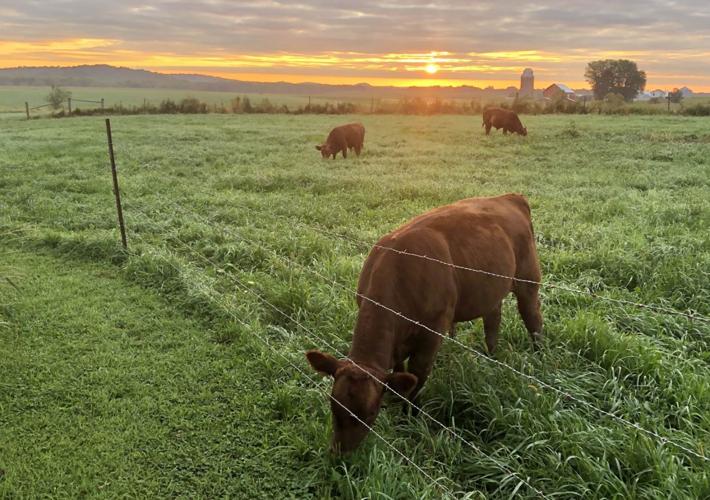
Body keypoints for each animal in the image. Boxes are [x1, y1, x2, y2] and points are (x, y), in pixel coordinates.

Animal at [306, 193, 543, 453]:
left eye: (370, 414)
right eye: (332, 405)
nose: (340, 453)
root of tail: (509, 197)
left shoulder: (432, 333)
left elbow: (417, 375)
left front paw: (410, 416)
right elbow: (399, 369)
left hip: (528, 279)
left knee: (533, 319)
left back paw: (539, 357)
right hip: (490, 289)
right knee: (493, 320)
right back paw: (491, 358)